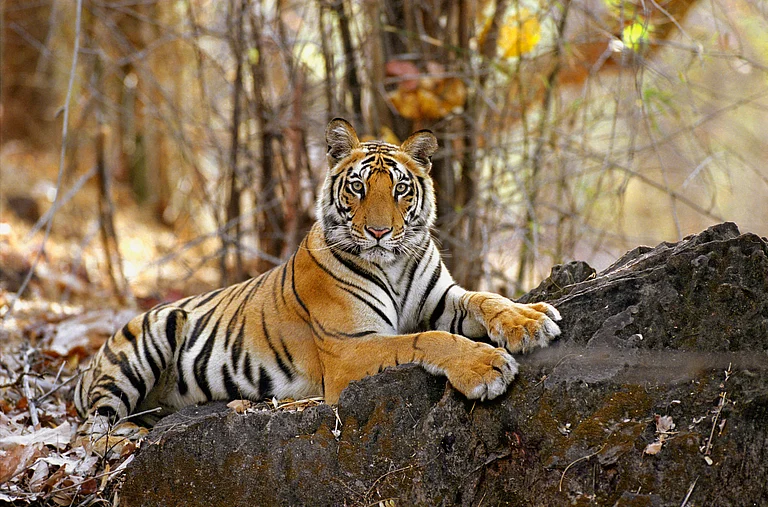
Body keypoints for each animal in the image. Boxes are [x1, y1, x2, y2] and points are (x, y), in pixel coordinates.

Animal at [74, 118, 562, 429]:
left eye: (400, 189)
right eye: (358, 187)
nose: (380, 232)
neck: (394, 263)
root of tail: (87, 365)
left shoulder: (443, 298)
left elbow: (486, 298)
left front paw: (531, 321)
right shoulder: (348, 348)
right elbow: (427, 339)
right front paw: (487, 367)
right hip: (150, 334)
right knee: (95, 431)